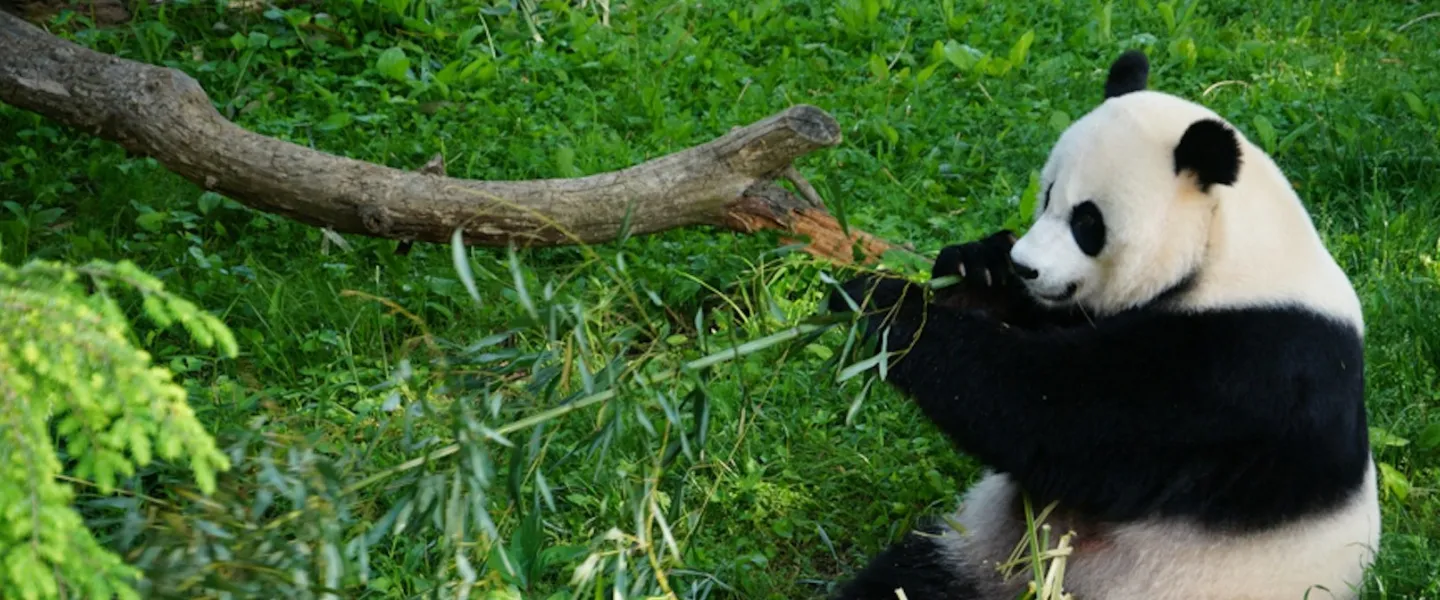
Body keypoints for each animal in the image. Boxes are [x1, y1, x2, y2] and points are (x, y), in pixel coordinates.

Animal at [824, 50, 1381, 600]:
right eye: (1047, 195)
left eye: (1087, 222)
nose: (1026, 267)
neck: (1227, 250)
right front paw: (974, 266)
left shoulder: (1250, 364)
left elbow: (1055, 414)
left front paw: (882, 306)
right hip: (972, 553)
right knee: (908, 580)